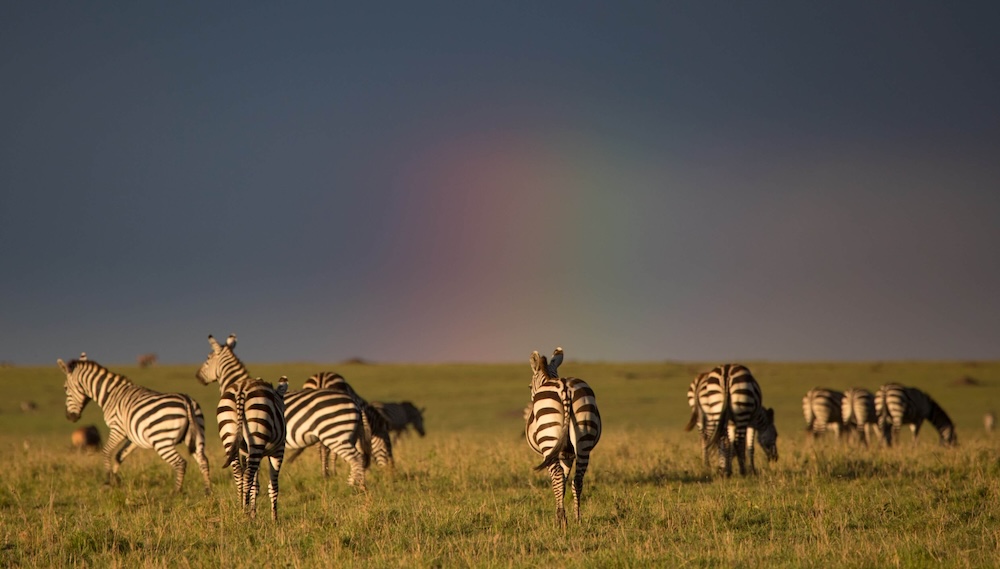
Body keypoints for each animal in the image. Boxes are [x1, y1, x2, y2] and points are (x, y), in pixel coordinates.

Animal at [57, 356, 211, 494]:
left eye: (65, 388)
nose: (69, 417)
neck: (111, 395)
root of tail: (186, 401)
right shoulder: (133, 437)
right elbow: (119, 455)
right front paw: (115, 481)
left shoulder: (117, 429)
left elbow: (106, 452)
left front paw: (108, 480)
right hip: (197, 435)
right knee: (203, 460)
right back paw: (208, 491)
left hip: (162, 441)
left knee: (180, 463)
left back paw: (176, 492)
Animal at [196, 334, 288, 519]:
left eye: (208, 359)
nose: (198, 377)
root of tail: (241, 389)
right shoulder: (277, 449)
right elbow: (269, 486)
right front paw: (271, 518)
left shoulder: (248, 450)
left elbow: (256, 485)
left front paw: (253, 510)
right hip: (257, 439)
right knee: (248, 474)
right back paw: (245, 513)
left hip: (229, 434)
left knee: (239, 473)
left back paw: (240, 508)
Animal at [525, 348, 601, 529]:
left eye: (530, 386)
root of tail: (564, 386)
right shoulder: (567, 454)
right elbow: (566, 482)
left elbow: (558, 481)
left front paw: (558, 516)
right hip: (584, 437)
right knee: (577, 480)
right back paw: (577, 519)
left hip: (549, 440)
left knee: (558, 477)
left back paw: (561, 522)